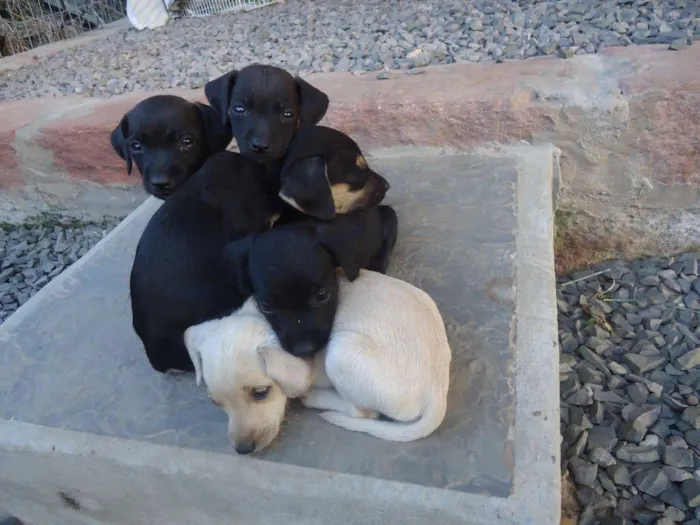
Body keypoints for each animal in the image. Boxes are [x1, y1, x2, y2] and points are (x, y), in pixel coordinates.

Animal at [183, 268, 452, 452]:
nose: (243, 450)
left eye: (261, 393)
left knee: (364, 413)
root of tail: (438, 390)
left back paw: (314, 398)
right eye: (216, 403)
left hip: (340, 352)